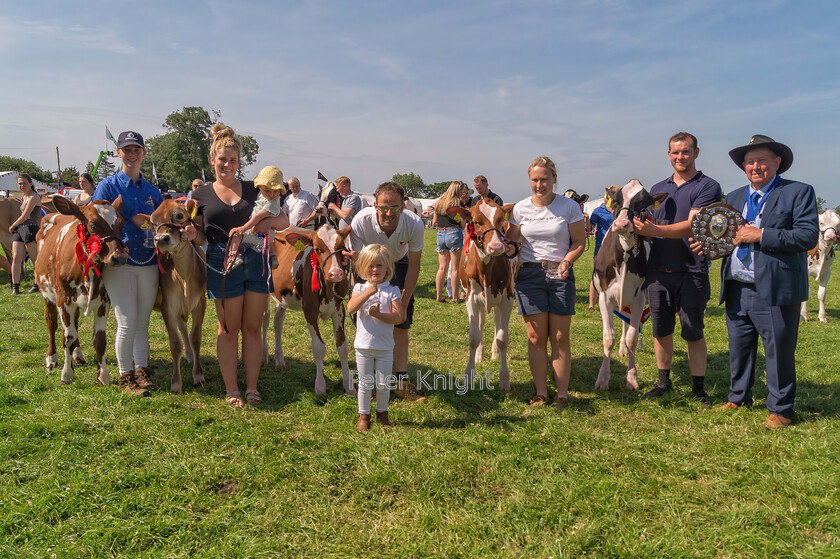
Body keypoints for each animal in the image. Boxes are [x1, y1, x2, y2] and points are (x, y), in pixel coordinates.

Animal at [34, 196, 128, 384]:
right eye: (93, 225)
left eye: (121, 224)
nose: (119, 257)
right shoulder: (63, 299)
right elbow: (68, 338)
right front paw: (66, 375)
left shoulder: (103, 301)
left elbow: (99, 340)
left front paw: (103, 376)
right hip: (47, 294)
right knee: (52, 323)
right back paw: (51, 359)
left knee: (75, 324)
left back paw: (77, 356)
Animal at [144, 199, 207, 392]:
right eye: (153, 222)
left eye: (179, 215)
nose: (160, 239)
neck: (184, 276)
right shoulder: (168, 307)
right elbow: (175, 344)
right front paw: (176, 383)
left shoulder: (200, 303)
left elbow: (195, 339)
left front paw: (198, 376)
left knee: (183, 326)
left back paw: (190, 356)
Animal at [262, 225, 354, 396]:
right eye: (317, 249)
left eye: (341, 247)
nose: (336, 273)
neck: (328, 289)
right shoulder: (310, 310)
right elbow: (318, 347)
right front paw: (320, 387)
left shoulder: (339, 310)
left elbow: (342, 347)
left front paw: (349, 385)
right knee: (264, 320)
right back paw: (264, 356)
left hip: (283, 298)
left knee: (278, 321)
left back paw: (279, 359)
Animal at [452, 200, 520, 390]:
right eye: (476, 221)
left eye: (500, 220)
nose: (496, 247)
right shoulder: (471, 298)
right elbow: (474, 337)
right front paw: (469, 375)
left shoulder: (507, 298)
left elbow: (502, 338)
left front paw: (504, 378)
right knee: (481, 324)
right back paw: (479, 355)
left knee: (497, 323)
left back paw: (495, 353)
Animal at [592, 182, 664, 392]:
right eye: (616, 201)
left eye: (642, 204)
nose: (622, 224)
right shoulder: (604, 297)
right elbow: (608, 337)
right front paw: (602, 379)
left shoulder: (638, 298)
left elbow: (632, 337)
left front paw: (632, 379)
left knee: (630, 326)